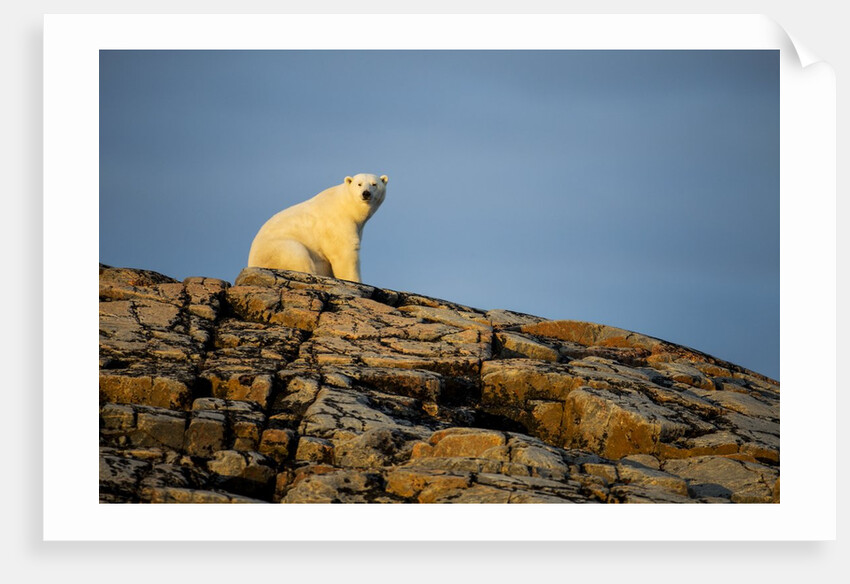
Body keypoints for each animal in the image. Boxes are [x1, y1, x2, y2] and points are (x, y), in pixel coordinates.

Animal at [247, 173, 388, 283]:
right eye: (359, 184)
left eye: (374, 184)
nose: (366, 193)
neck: (347, 206)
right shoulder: (336, 223)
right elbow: (344, 253)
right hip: (276, 249)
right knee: (297, 253)